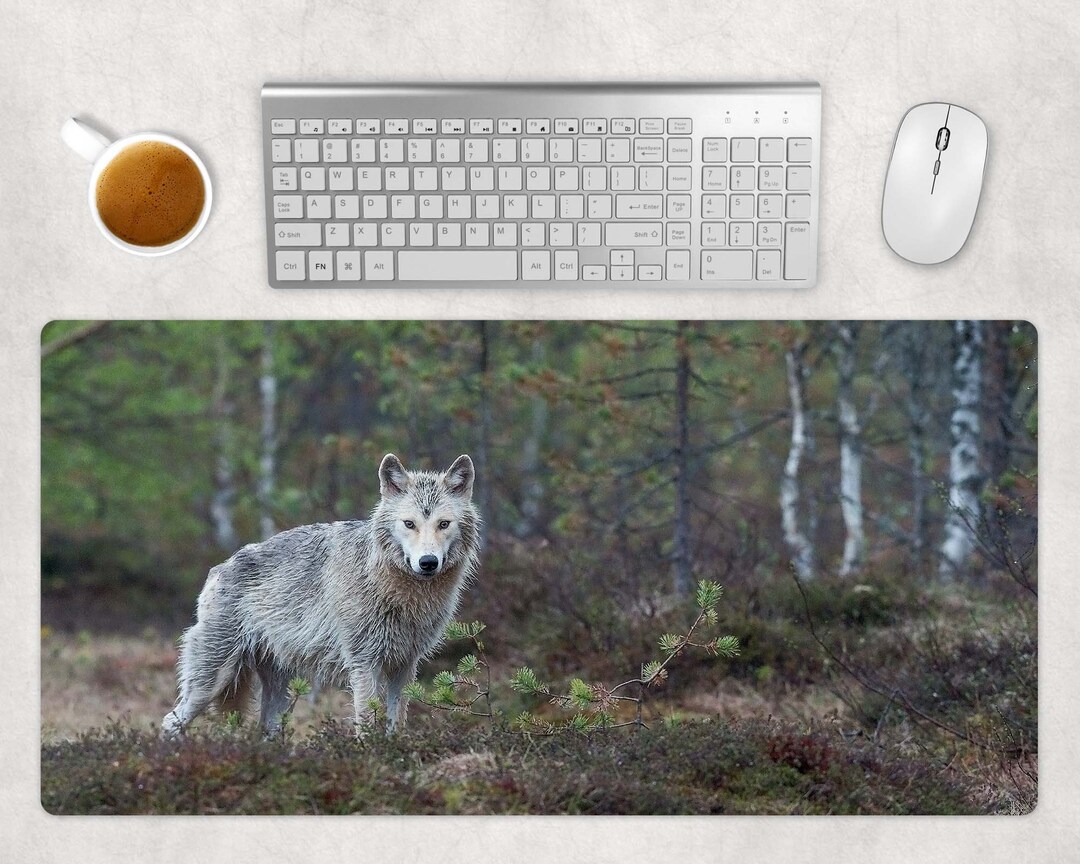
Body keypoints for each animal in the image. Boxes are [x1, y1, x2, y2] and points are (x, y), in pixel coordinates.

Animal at [161, 453, 481, 737]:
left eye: (443, 524)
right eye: (409, 523)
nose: (428, 562)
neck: (399, 592)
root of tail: (218, 568)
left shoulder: (405, 666)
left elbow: (397, 724)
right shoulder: (364, 663)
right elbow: (367, 724)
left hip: (276, 689)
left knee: (264, 729)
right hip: (213, 680)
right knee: (169, 722)